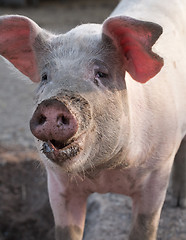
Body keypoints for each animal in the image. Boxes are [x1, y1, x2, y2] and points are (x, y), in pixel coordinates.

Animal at [0, 0, 186, 239]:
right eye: (45, 76)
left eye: (101, 74)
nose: (53, 104)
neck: (104, 173)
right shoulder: (58, 184)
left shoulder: (157, 172)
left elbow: (144, 227)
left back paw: (179, 203)